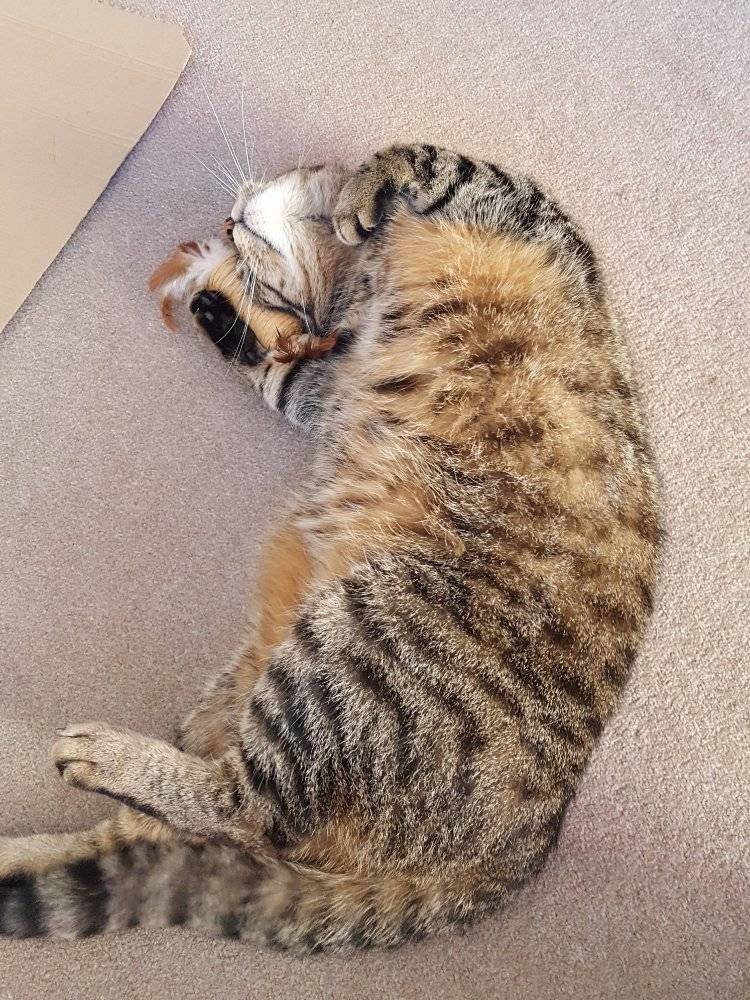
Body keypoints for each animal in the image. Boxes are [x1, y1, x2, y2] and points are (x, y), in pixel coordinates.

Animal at [0, 145, 661, 950]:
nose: (227, 221)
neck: (362, 281)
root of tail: (528, 844)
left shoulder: (523, 214)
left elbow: (420, 155)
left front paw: (355, 197)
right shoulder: (324, 386)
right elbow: (281, 373)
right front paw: (221, 310)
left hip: (359, 636)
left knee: (240, 813)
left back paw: (107, 757)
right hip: (290, 667)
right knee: (177, 836)